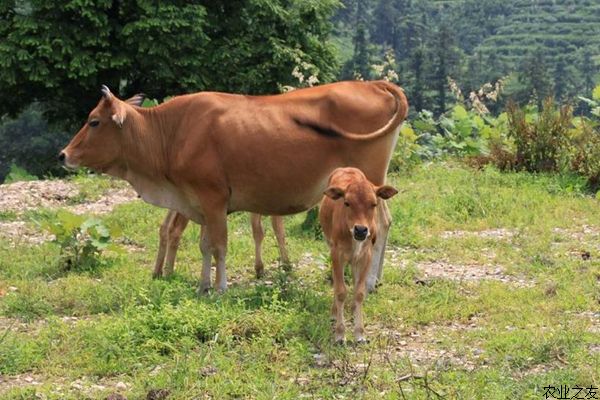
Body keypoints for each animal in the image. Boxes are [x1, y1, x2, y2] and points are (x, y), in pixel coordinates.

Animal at [61, 81, 408, 294]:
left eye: (94, 121)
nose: (63, 154)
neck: (171, 133)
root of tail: (373, 83)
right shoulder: (198, 203)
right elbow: (204, 245)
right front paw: (203, 286)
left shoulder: (213, 199)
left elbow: (220, 246)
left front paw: (220, 287)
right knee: (387, 222)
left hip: (368, 185)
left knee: (379, 226)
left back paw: (370, 281)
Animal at [318, 167, 398, 342]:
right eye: (347, 203)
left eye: (374, 204)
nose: (360, 230)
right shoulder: (336, 254)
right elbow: (340, 291)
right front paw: (340, 334)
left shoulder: (366, 256)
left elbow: (359, 292)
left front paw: (360, 333)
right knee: (336, 281)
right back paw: (334, 313)